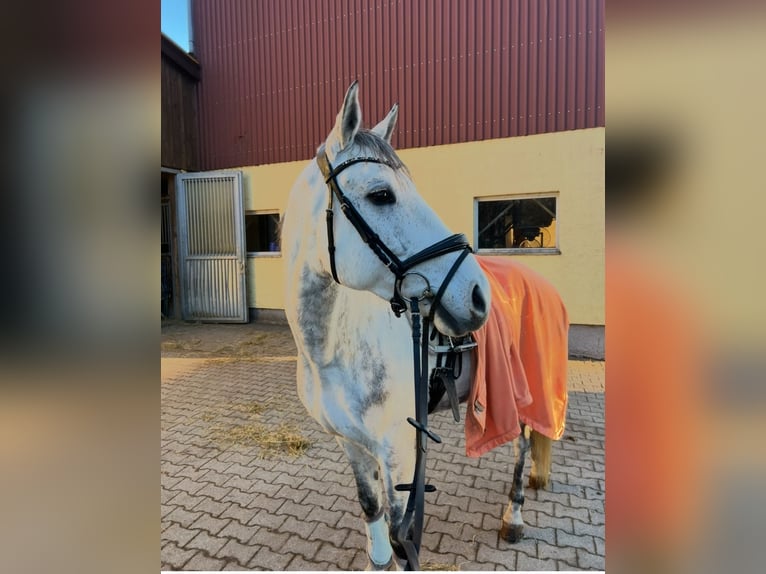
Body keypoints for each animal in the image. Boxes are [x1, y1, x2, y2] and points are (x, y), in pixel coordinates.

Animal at [282, 82, 563, 570]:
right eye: (381, 195)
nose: (478, 296)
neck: (334, 349)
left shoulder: (396, 450)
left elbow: (402, 538)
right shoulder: (352, 446)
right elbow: (372, 514)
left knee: (522, 446)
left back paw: (514, 517)